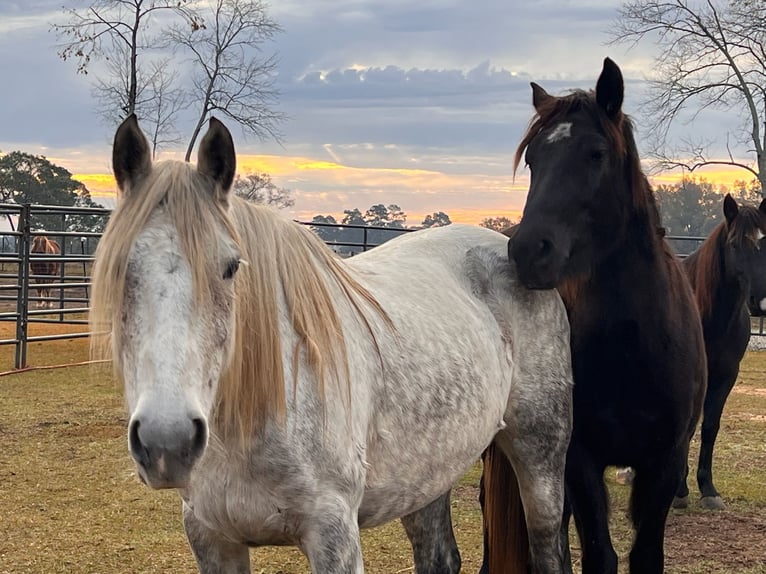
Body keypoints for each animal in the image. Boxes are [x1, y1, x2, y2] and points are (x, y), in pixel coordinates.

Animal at [89, 114, 575, 574]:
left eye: (230, 267)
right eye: (118, 268)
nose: (166, 441)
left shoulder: (333, 534)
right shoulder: (211, 538)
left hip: (541, 456)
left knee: (549, 548)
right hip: (427, 474)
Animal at [480, 58, 707, 574]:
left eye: (596, 153)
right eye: (533, 159)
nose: (529, 251)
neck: (634, 345)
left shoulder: (666, 462)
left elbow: (645, 556)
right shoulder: (579, 460)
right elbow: (600, 555)